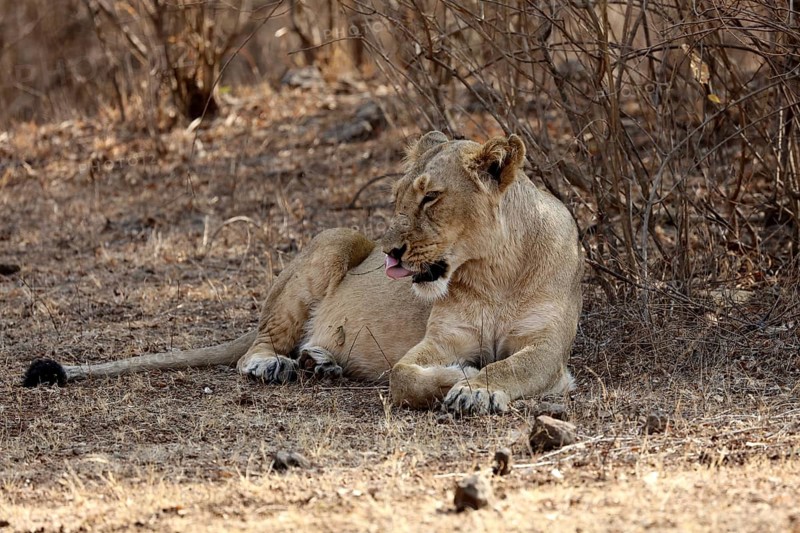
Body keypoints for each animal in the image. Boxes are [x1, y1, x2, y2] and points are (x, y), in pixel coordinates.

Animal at [23, 131, 583, 415]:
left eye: (431, 198)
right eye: (400, 196)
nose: (390, 253)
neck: (493, 272)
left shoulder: (548, 348)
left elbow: (515, 367)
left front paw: (480, 387)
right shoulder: (440, 339)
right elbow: (403, 374)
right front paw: (464, 376)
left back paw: (321, 362)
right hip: (334, 239)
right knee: (255, 346)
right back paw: (277, 365)